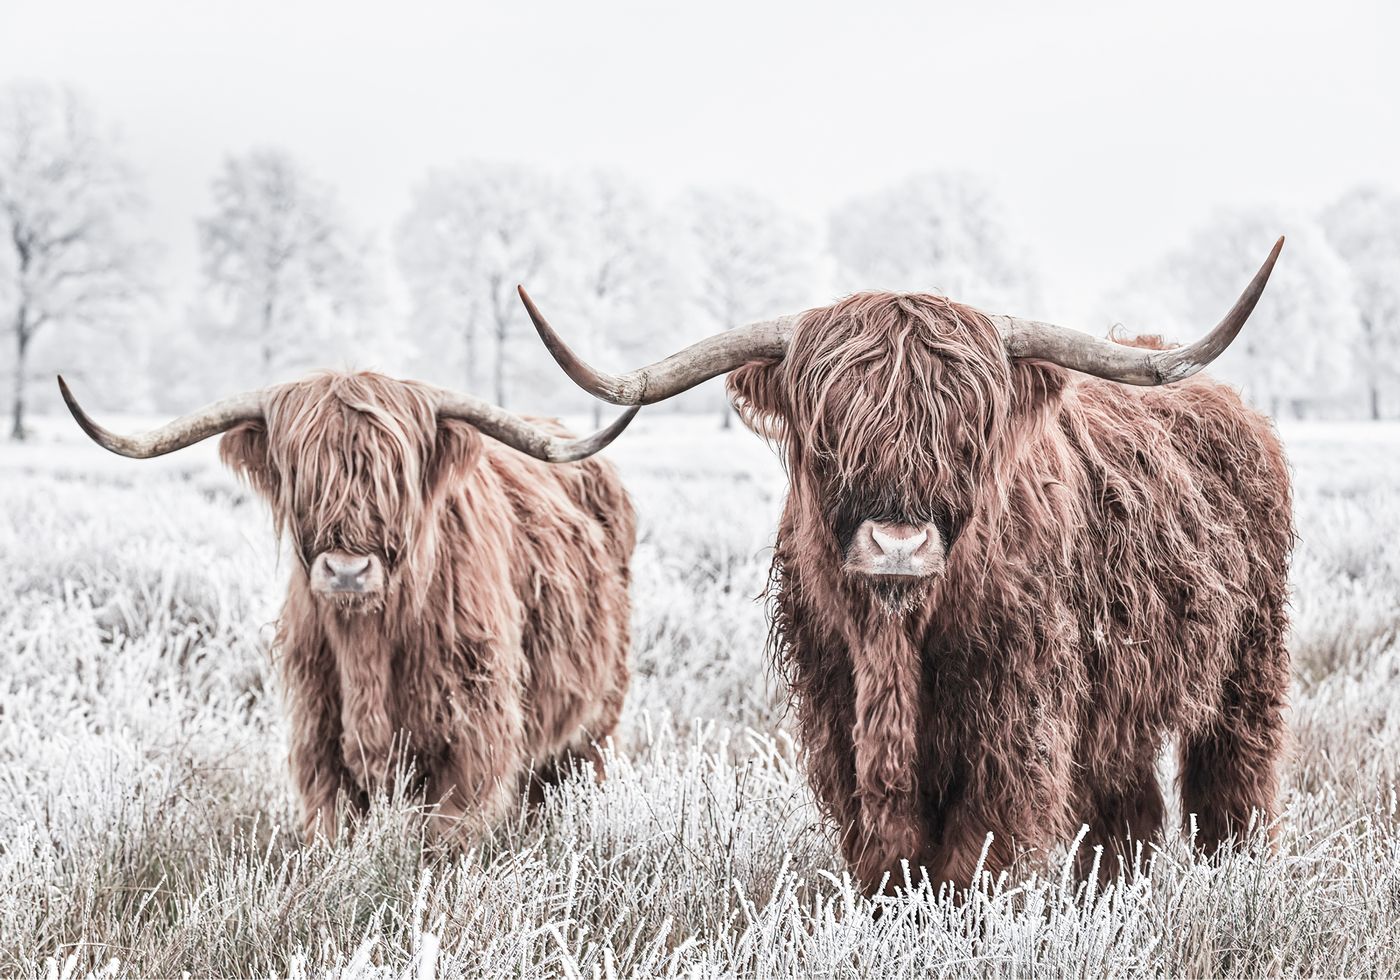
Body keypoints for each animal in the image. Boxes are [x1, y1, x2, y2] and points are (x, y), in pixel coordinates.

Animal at [59, 371, 638, 843]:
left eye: (394, 478)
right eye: (303, 477)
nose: (346, 571)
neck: (368, 646)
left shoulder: (473, 741)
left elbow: (446, 840)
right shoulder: (318, 740)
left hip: (596, 719)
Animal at [516, 238, 1291, 893]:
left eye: (968, 433)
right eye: (829, 434)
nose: (897, 546)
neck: (898, 640)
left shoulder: (1013, 720)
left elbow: (977, 850)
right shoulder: (838, 712)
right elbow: (886, 849)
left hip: (1248, 665)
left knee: (1232, 779)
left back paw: (1234, 874)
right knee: (1128, 804)